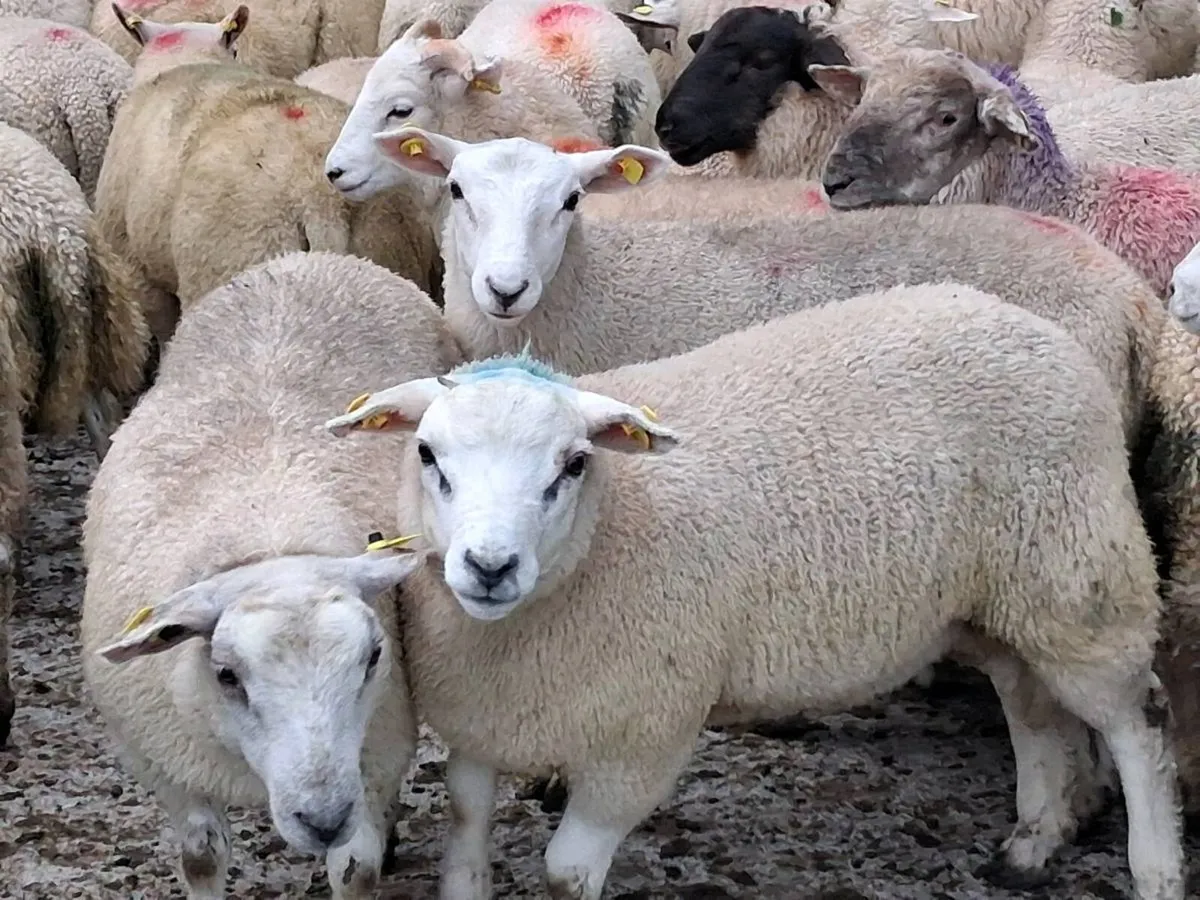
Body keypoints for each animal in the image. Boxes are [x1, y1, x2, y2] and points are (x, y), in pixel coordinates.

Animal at [81, 251, 461, 898]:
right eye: (226, 675)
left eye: (373, 657)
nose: (323, 818)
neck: (269, 543)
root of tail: (313, 258)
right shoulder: (165, 764)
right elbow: (201, 858)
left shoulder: (373, 754)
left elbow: (355, 869)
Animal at [96, 7, 440, 351]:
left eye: (236, 49)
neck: (180, 62)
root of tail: (317, 197)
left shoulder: (139, 272)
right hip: (390, 249)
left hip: (236, 255)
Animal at [323, 286, 1184, 900]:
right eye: (428, 454)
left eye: (573, 465)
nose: (490, 566)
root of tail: (1030, 324)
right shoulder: (480, 719)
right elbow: (466, 842)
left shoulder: (642, 738)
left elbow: (568, 872)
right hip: (999, 598)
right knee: (1029, 702)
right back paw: (1035, 841)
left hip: (1081, 574)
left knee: (1139, 723)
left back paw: (1156, 869)